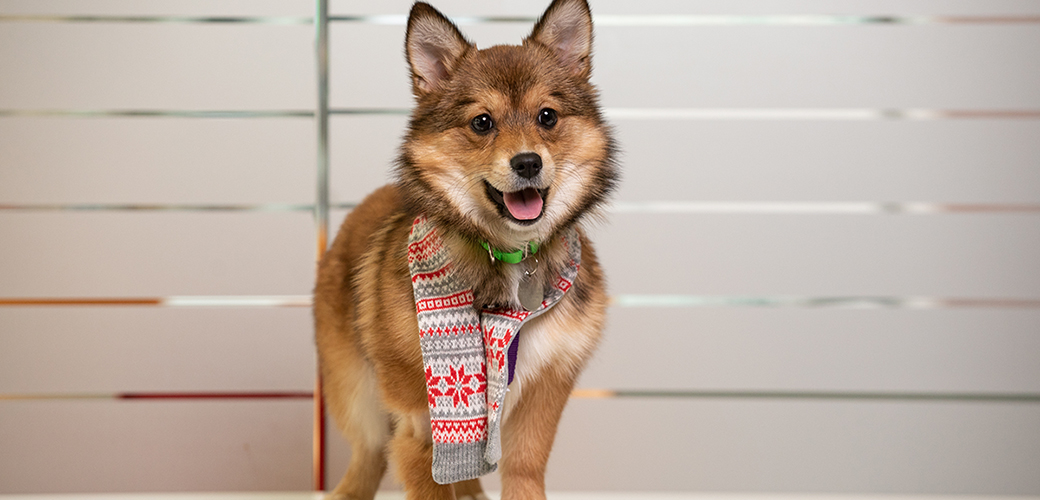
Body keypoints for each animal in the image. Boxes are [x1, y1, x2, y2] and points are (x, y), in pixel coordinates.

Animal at [312, 1, 611, 496]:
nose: (527, 163)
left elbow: (524, 471)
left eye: (547, 117)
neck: (511, 256)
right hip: (353, 387)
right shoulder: (420, 424)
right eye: (482, 122)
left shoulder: (546, 392)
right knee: (368, 452)